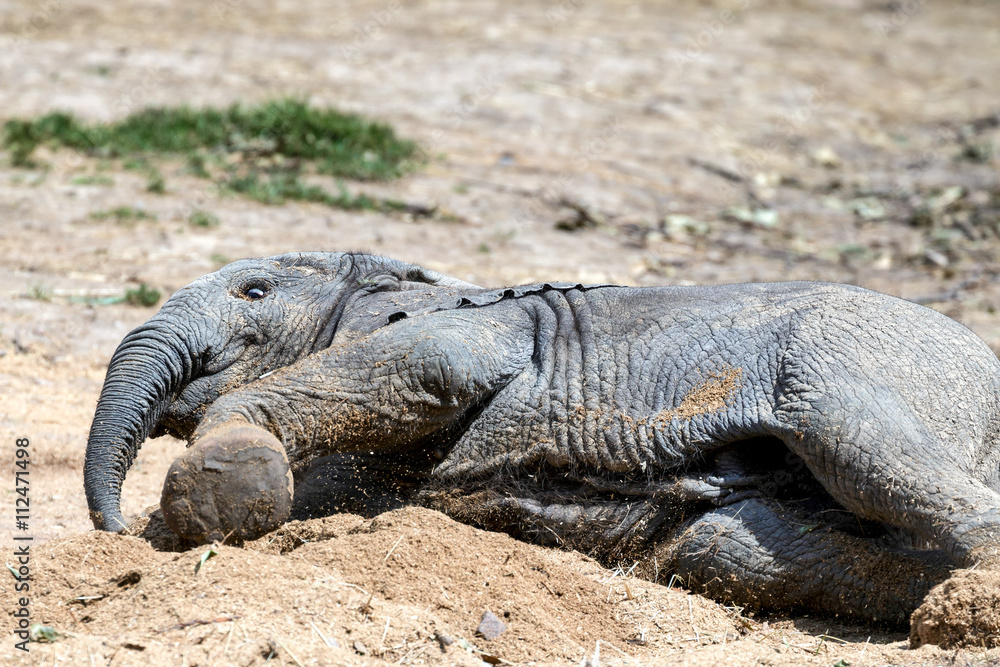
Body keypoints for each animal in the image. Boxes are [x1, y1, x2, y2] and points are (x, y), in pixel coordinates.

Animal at [84, 251, 1000, 628]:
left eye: (255, 290)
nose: (117, 529)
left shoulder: (472, 326)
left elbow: (431, 363)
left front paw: (210, 489)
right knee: (732, 549)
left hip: (849, 360)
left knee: (870, 456)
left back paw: (966, 617)